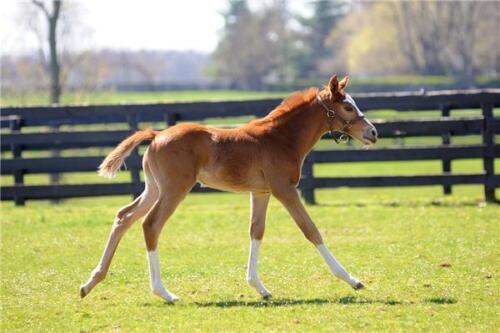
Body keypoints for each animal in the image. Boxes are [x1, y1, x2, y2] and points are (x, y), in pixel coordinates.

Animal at [81, 75, 378, 300]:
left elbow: (256, 231)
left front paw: (260, 287)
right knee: (151, 224)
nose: (373, 133)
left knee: (125, 217)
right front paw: (352, 280)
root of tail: (156, 134)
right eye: (348, 107)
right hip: (174, 189)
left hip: (154, 188)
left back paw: (90, 282)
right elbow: (311, 230)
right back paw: (163, 293)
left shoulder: (261, 192)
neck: (280, 138)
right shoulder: (285, 190)